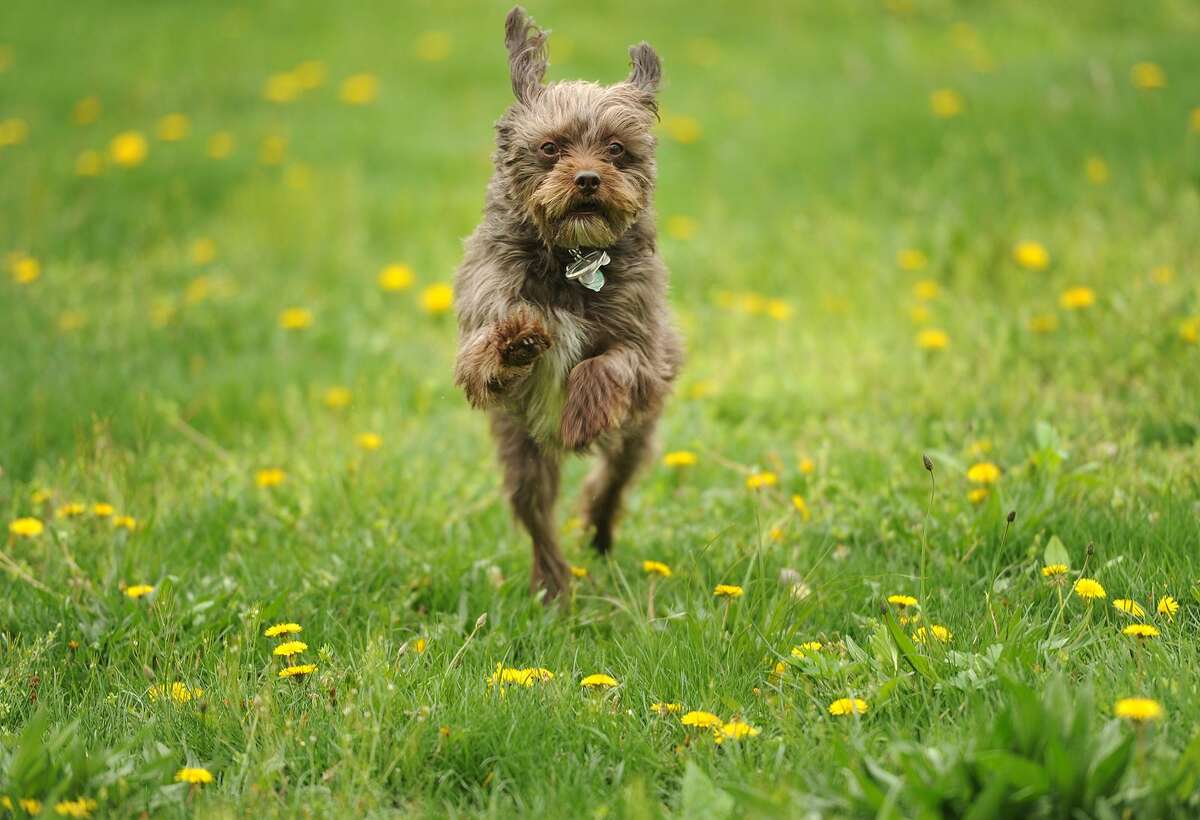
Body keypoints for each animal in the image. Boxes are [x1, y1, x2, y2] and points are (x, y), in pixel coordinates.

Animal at [453, 4, 686, 595]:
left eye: (616, 149)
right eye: (550, 147)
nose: (586, 178)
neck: (571, 257)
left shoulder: (647, 357)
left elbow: (609, 363)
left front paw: (581, 412)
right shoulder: (481, 326)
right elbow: (484, 354)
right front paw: (515, 342)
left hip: (633, 436)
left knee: (611, 484)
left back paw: (598, 536)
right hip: (523, 451)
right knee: (537, 516)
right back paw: (553, 585)